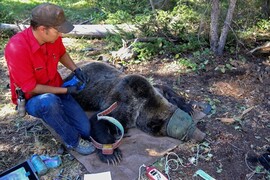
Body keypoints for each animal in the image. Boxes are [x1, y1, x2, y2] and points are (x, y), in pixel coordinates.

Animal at [68, 61, 207, 165]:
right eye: (184, 133)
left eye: (190, 124)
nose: (202, 136)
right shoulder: (121, 105)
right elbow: (99, 120)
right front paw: (112, 155)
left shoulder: (154, 91)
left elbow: (165, 88)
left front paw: (188, 107)